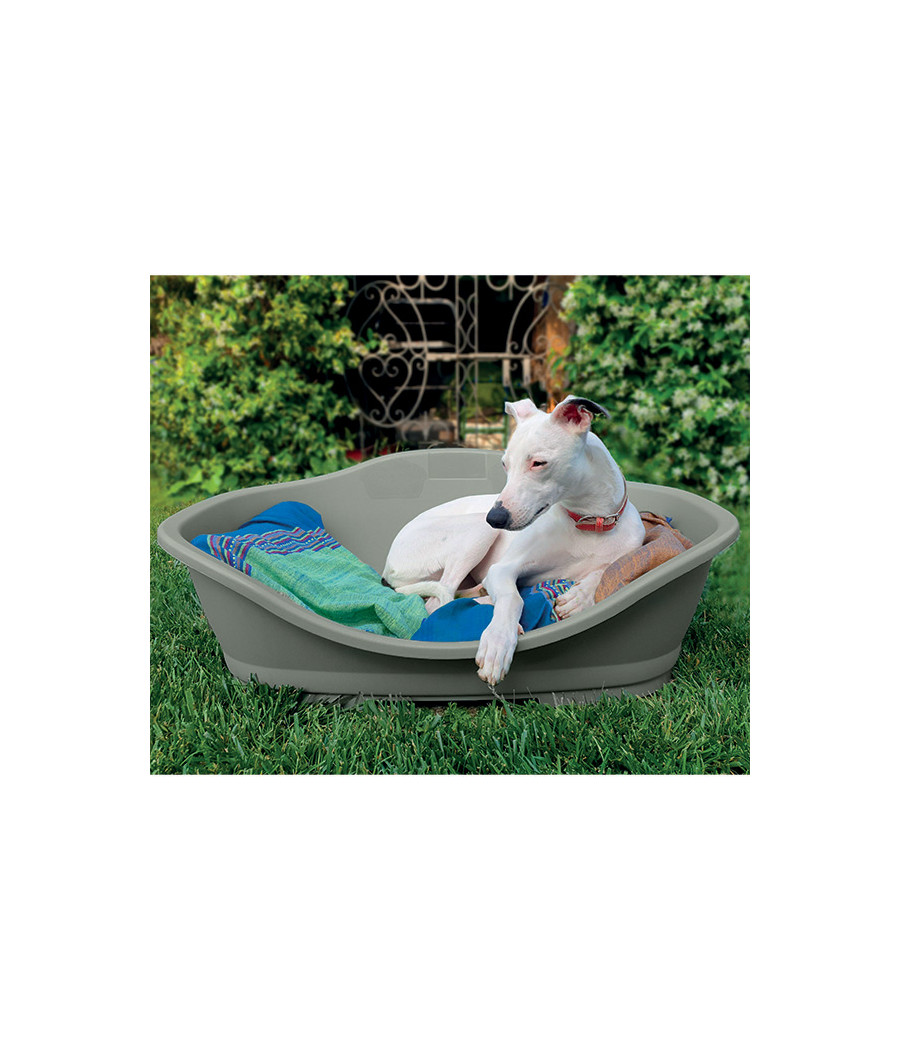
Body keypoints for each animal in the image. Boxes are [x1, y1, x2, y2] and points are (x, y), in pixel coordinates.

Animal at [383, 395, 645, 685]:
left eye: (538, 463)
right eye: (504, 464)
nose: (495, 517)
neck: (588, 522)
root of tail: (388, 568)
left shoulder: (632, 546)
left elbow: (608, 569)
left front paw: (580, 596)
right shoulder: (503, 569)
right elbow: (512, 598)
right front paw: (497, 643)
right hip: (478, 530)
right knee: (438, 602)